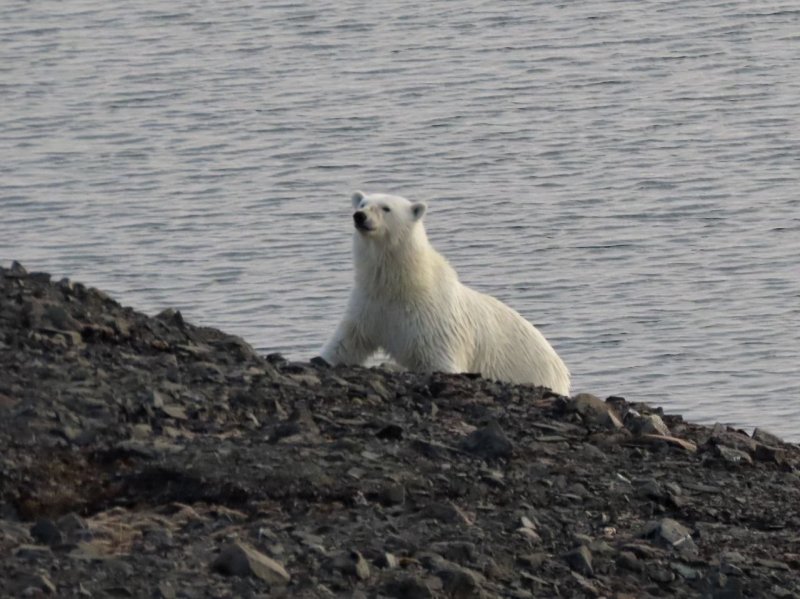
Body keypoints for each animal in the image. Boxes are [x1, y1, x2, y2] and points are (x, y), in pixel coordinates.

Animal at [318, 192, 568, 396]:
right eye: (363, 203)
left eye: (386, 208)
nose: (359, 216)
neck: (403, 285)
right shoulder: (369, 303)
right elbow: (347, 340)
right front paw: (323, 359)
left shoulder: (434, 321)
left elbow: (442, 360)